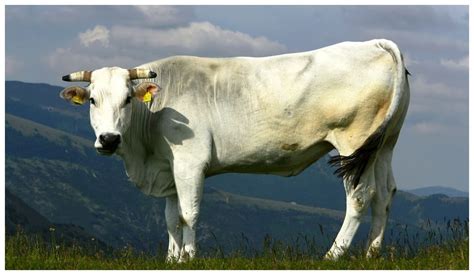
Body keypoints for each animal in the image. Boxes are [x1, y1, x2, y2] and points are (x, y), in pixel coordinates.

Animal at [58, 39, 408, 264]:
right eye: (93, 100)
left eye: (128, 99)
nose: (109, 139)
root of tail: (374, 43)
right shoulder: (168, 168)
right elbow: (171, 218)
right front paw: (171, 260)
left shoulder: (190, 163)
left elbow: (188, 214)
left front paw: (188, 259)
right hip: (383, 145)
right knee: (384, 193)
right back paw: (372, 254)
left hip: (354, 143)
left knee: (360, 196)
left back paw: (332, 256)